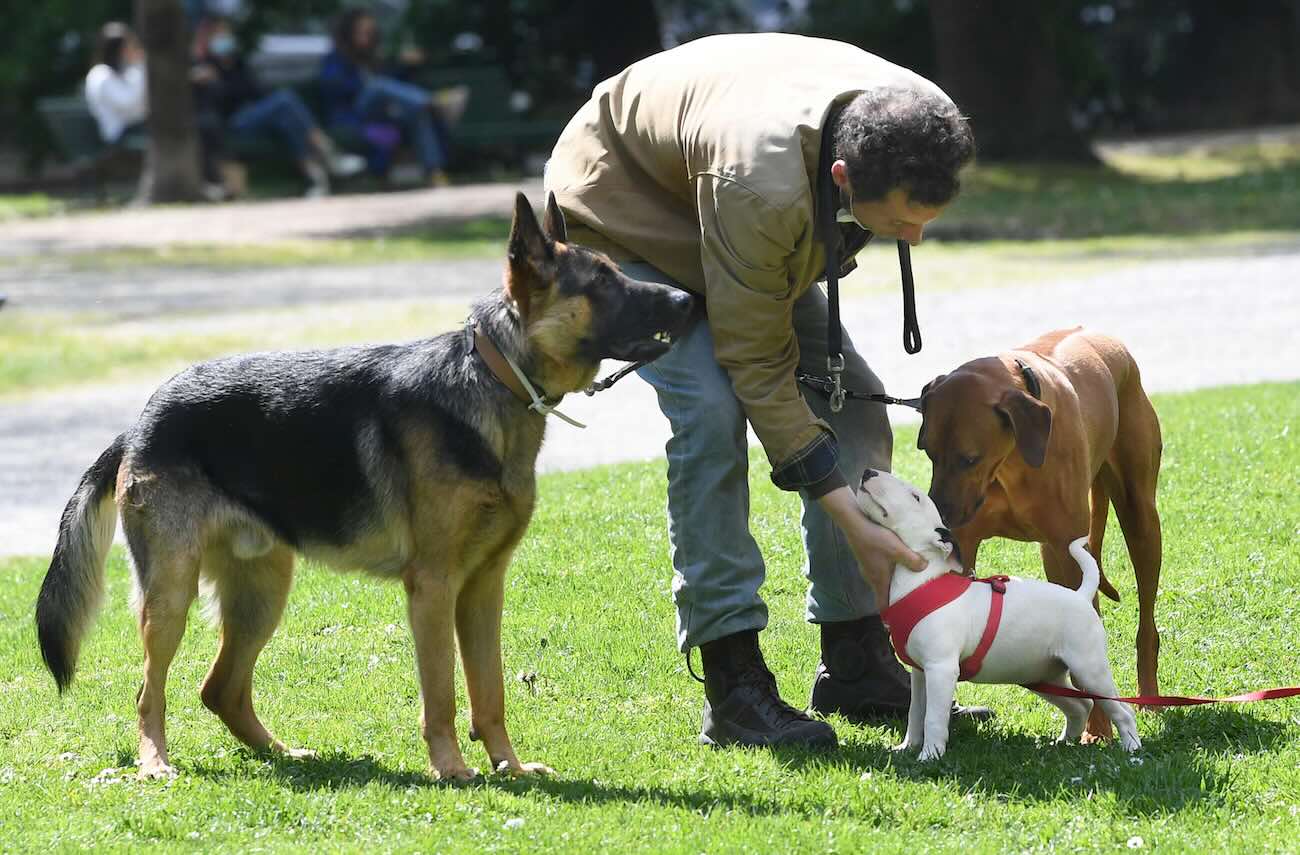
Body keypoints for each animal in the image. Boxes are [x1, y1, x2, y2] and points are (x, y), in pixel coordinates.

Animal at [35, 193, 696, 779]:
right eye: (602, 282)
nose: (689, 298)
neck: (494, 378)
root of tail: (138, 423)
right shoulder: (434, 588)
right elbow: (442, 694)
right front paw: (451, 768)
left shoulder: (484, 588)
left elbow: (490, 690)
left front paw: (508, 766)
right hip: (172, 594)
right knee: (151, 690)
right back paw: (154, 763)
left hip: (261, 593)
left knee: (220, 688)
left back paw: (283, 754)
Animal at [852, 465, 1138, 758]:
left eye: (915, 497)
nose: (868, 471)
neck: (923, 579)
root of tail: (1081, 595)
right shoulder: (921, 673)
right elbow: (915, 713)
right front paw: (907, 747)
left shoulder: (941, 669)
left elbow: (932, 718)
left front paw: (929, 756)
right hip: (1042, 675)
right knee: (1082, 706)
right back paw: (1063, 742)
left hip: (1089, 669)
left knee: (1122, 710)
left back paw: (1131, 748)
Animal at [920, 327, 1164, 738]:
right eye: (928, 452)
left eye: (969, 458)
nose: (940, 519)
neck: (1013, 460)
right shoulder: (969, 543)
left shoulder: (1067, 546)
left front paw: (1098, 731)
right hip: (1053, 557)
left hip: (1140, 519)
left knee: (1146, 624)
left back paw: (1149, 696)